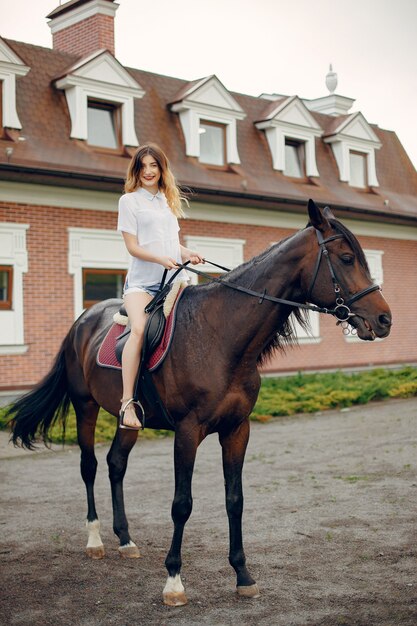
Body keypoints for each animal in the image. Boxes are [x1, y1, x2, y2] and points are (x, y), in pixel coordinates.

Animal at [6, 200, 390, 604]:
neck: (219, 336)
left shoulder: (237, 429)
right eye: (347, 258)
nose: (384, 319)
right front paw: (174, 580)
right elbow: (182, 504)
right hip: (86, 406)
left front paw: (243, 575)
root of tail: (83, 320)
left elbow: (235, 499)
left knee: (115, 464)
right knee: (89, 466)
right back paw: (95, 540)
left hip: (130, 420)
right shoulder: (187, 432)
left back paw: (125, 540)